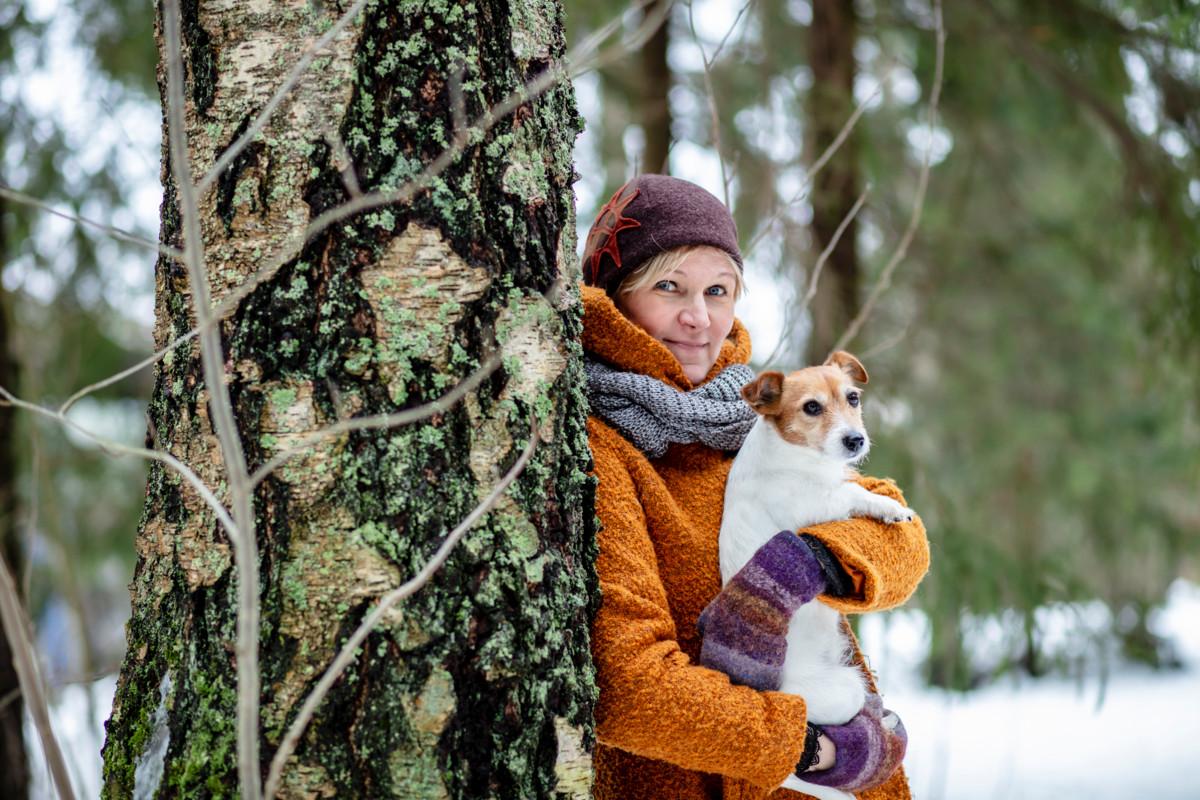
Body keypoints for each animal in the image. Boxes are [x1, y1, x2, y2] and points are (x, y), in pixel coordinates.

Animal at [720, 352, 907, 796]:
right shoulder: (813, 505)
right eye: (811, 407)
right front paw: (888, 507)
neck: (799, 457)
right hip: (845, 689)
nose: (855, 440)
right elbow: (853, 492)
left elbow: (850, 484)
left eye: (853, 397)